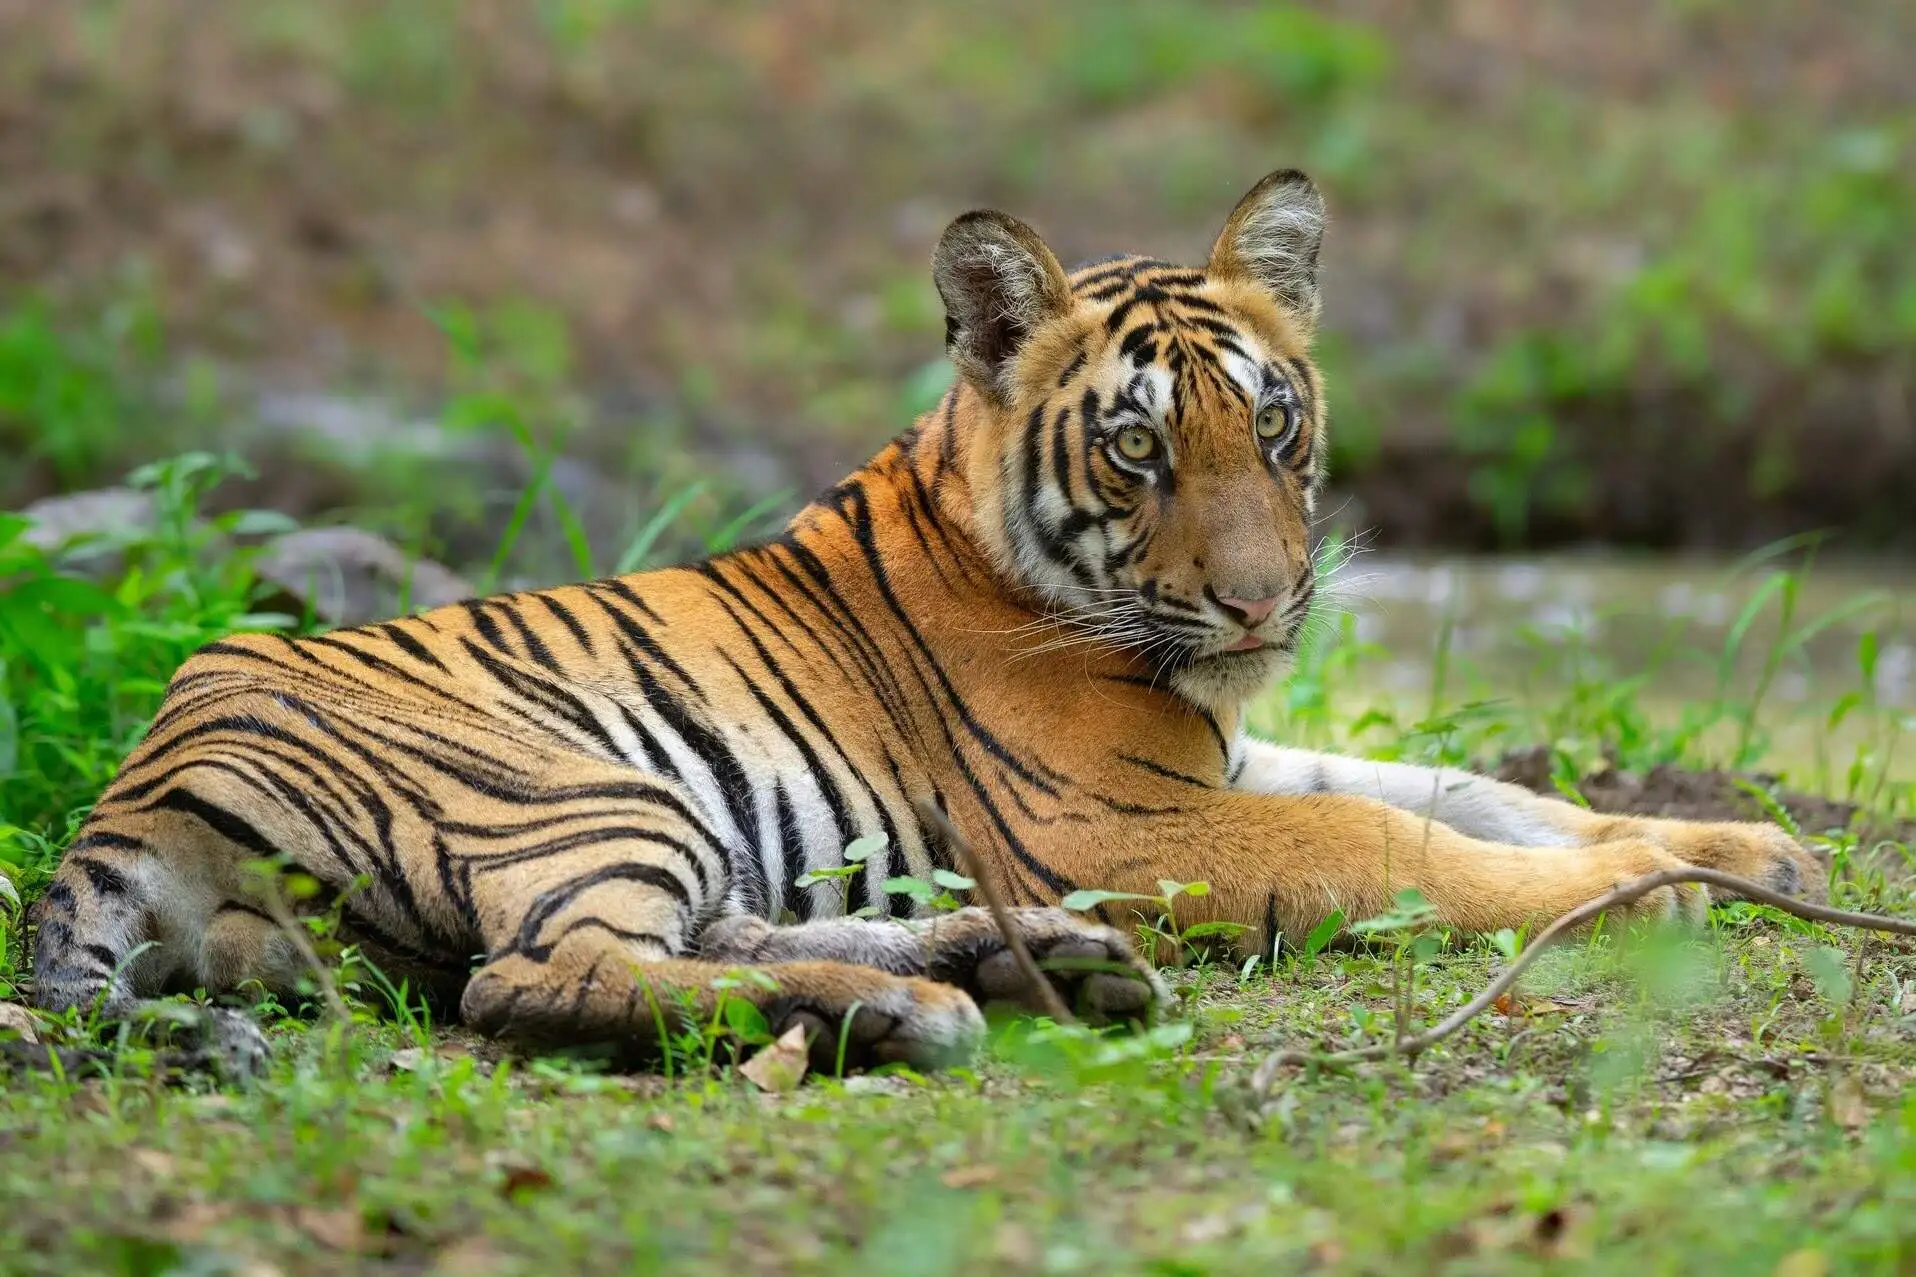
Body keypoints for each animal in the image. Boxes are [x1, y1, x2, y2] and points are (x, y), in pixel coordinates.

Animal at [29, 166, 1824, 1066]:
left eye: (1274, 423)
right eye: (1138, 446)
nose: (1262, 599)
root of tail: (130, 786)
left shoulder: (1227, 763)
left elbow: (1479, 792)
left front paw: (1745, 849)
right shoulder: (1125, 819)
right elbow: (1402, 845)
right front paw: (1651, 891)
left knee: (706, 939)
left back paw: (999, 978)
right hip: (578, 789)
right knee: (538, 978)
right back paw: (932, 1005)